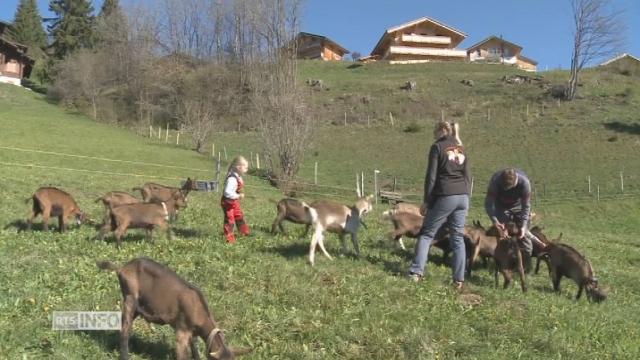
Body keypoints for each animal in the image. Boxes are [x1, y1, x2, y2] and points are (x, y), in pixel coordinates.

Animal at [97, 258, 250, 360]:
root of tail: (122, 268)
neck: (198, 308)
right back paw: (125, 356)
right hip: (129, 298)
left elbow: (195, 349)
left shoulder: (192, 332)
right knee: (125, 329)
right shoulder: (182, 331)